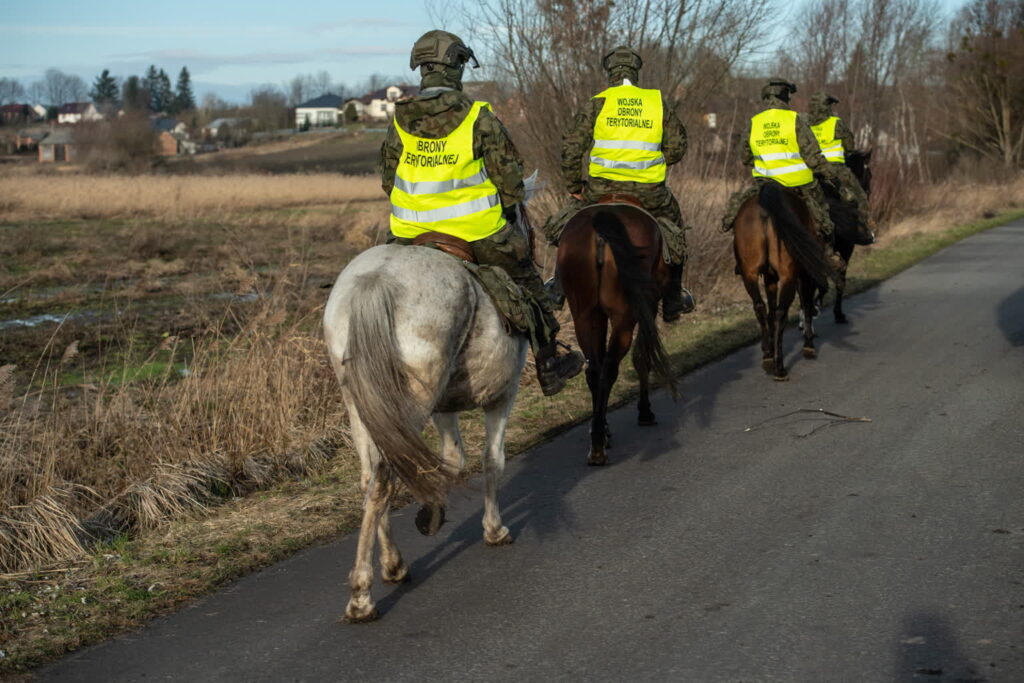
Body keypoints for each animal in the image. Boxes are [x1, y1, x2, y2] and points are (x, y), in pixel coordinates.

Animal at [321, 239, 532, 618]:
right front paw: (493, 529)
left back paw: (393, 565)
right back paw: (362, 597)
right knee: (385, 479)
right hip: (411, 400)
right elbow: (491, 459)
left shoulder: (443, 407)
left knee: (370, 477)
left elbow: (452, 459)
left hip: (361, 403)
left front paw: (432, 513)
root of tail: (375, 281)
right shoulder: (502, 396)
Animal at [557, 197, 675, 464]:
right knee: (610, 368)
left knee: (595, 370)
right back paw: (599, 446)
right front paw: (645, 412)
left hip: (584, 316)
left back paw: (598, 439)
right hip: (625, 316)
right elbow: (642, 356)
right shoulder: (647, 305)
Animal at [737, 184, 831, 382]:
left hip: (750, 274)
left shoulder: (770, 277)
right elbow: (806, 304)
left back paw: (768, 356)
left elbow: (770, 311)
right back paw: (779, 367)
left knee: (760, 307)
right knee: (782, 313)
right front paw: (809, 344)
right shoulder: (805, 274)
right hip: (789, 275)